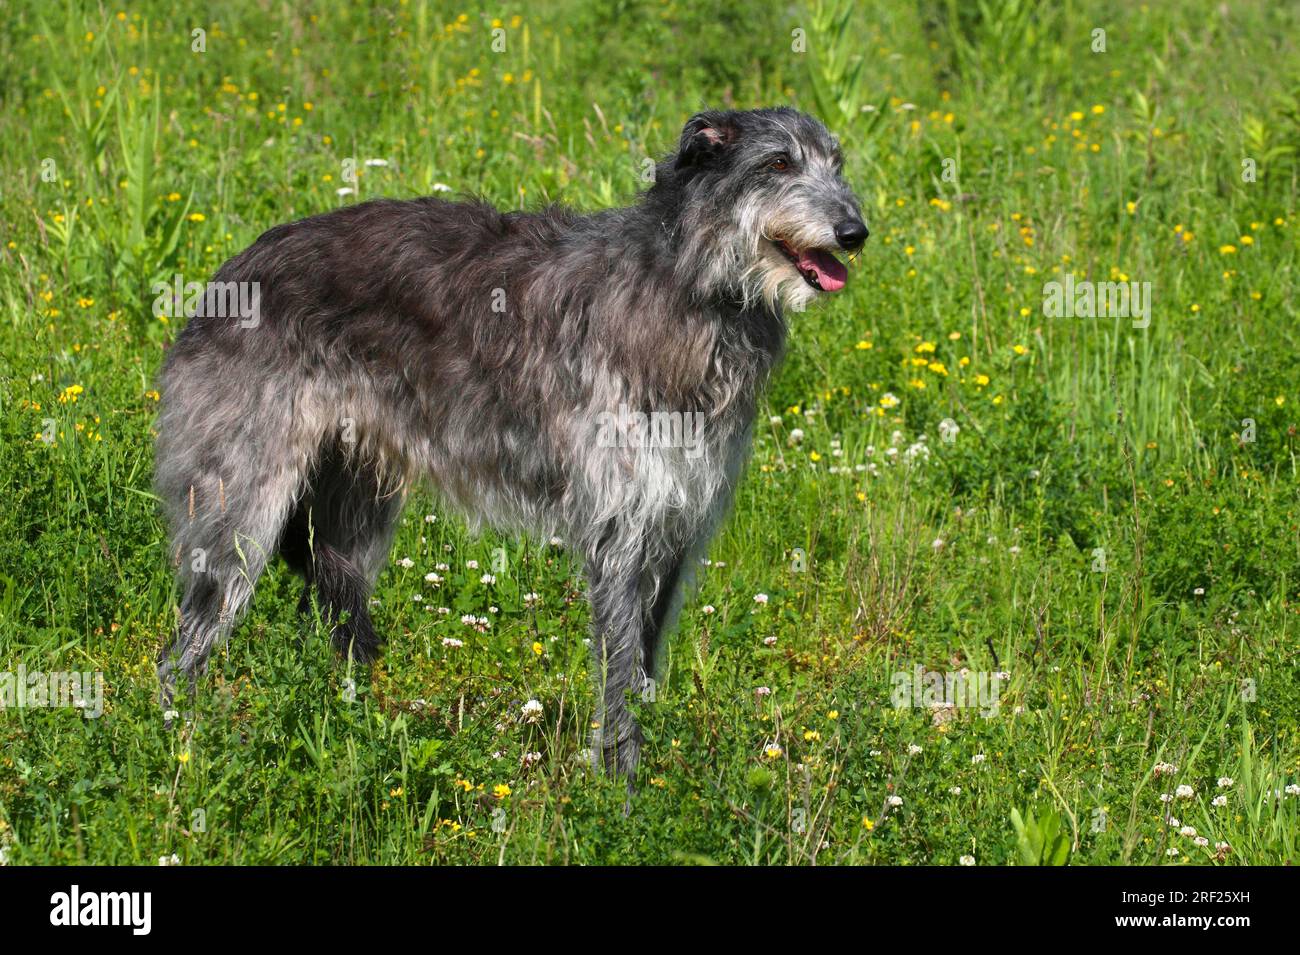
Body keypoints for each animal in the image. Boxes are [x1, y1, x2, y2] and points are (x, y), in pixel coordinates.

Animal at [154, 106, 863, 789]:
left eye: (837, 162)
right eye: (777, 163)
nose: (855, 232)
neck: (692, 286)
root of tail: (229, 274)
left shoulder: (679, 523)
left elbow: (646, 661)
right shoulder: (621, 523)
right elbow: (618, 666)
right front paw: (621, 790)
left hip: (353, 500)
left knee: (334, 607)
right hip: (242, 502)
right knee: (186, 644)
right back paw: (177, 747)